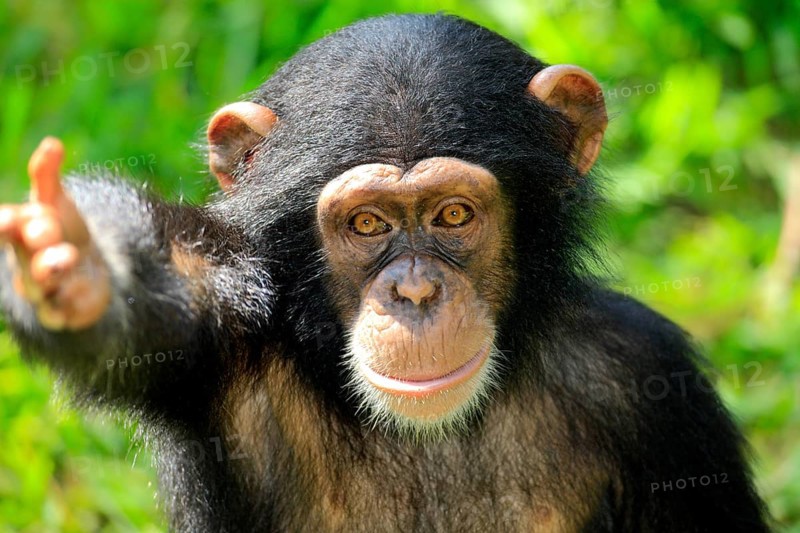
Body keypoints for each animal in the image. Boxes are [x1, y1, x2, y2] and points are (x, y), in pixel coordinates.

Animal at [0, 14, 769, 532]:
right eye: (367, 223)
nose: (416, 291)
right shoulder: (220, 325)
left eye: (454, 214)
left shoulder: (647, 380)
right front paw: (78, 262)